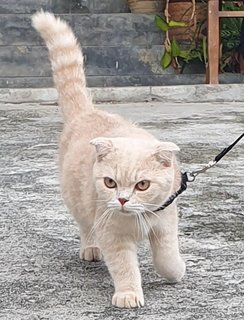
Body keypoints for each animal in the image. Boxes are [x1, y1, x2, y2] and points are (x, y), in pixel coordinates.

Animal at [31, 11, 185, 308]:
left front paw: (175, 271)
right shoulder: (112, 234)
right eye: (110, 182)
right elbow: (124, 265)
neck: (138, 218)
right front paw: (128, 293)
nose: (122, 200)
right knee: (85, 226)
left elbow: (167, 254)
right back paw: (90, 248)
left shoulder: (165, 222)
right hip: (78, 202)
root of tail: (87, 112)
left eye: (142, 185)